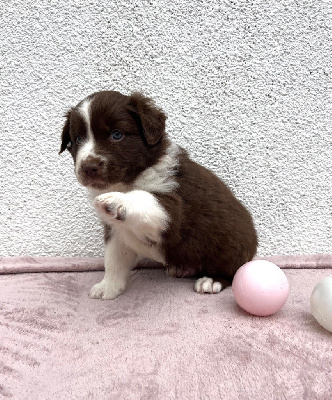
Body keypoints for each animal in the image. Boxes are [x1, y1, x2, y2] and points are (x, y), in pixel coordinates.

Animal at [59, 90, 258, 296]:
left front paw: (117, 201)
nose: (89, 167)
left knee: (232, 271)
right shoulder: (117, 230)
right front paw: (108, 287)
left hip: (231, 246)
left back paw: (211, 281)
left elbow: (145, 198)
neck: (127, 182)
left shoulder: (173, 207)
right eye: (78, 139)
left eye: (117, 135)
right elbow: (114, 259)